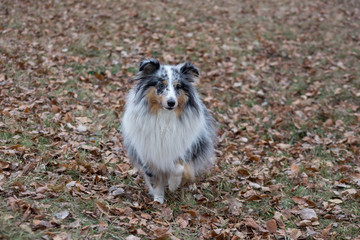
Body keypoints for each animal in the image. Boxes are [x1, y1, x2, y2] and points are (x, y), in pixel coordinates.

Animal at [121, 59, 217, 202]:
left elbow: (179, 168)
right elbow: (154, 178)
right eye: (161, 85)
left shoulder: (181, 147)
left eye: (178, 86)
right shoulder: (147, 153)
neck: (164, 117)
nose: (171, 103)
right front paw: (158, 199)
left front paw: (173, 184)